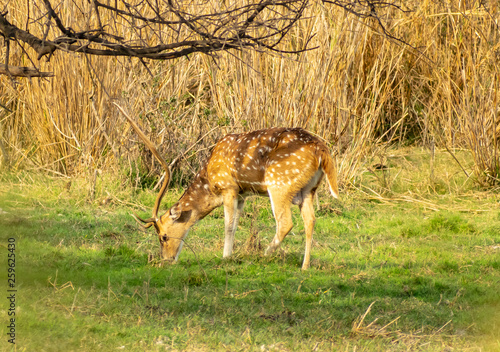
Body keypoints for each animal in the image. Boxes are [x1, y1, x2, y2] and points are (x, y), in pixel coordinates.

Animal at [120, 107, 340, 270]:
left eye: (163, 236)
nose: (166, 259)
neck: (209, 180)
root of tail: (322, 150)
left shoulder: (229, 187)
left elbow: (228, 224)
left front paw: (226, 257)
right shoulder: (242, 193)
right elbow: (235, 224)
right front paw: (230, 254)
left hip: (279, 183)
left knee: (286, 222)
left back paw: (263, 254)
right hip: (309, 189)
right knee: (310, 220)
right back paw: (305, 266)